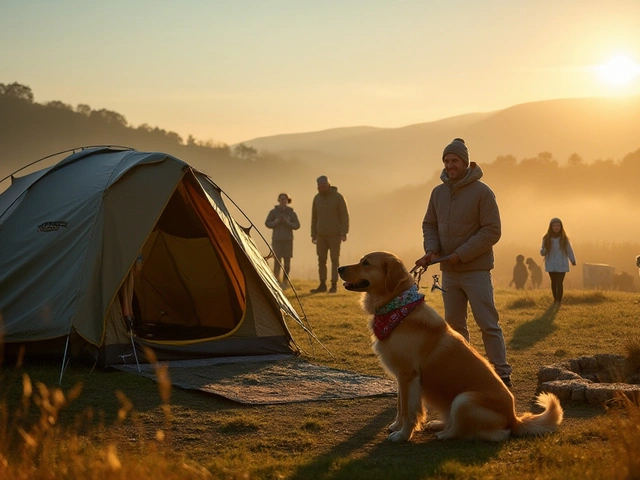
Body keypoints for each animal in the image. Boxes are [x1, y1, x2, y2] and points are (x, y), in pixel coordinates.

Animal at [338, 251, 564, 442]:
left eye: (366, 263)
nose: (339, 268)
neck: (397, 310)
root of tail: (514, 418)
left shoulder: (408, 375)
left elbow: (409, 410)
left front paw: (403, 435)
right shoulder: (400, 376)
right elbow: (400, 405)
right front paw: (396, 426)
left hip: (463, 399)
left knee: (489, 433)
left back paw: (445, 433)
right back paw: (438, 424)